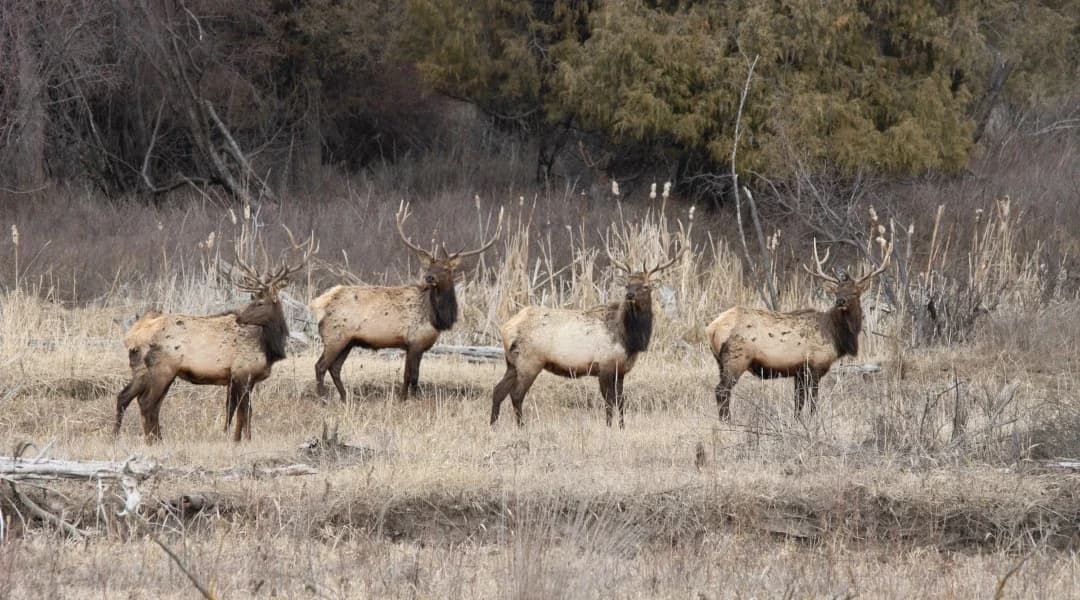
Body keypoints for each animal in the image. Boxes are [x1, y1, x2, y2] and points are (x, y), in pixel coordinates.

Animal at [115, 231, 315, 442]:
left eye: (260, 302)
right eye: (254, 299)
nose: (239, 317)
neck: (268, 348)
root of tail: (132, 336)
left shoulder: (238, 379)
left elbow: (234, 411)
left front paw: (233, 438)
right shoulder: (242, 372)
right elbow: (245, 411)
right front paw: (244, 439)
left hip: (143, 371)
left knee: (127, 397)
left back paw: (130, 436)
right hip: (163, 368)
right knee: (147, 403)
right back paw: (151, 440)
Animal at [309, 203, 502, 402]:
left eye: (446, 268)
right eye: (429, 266)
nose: (429, 277)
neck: (435, 317)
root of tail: (319, 303)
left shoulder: (413, 345)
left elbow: (407, 375)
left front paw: (402, 398)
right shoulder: (416, 342)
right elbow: (414, 376)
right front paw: (413, 400)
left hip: (348, 341)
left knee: (334, 368)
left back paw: (345, 397)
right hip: (335, 336)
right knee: (320, 366)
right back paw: (323, 398)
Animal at [490, 244, 684, 428]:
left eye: (645, 286)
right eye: (627, 285)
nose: (630, 295)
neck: (628, 339)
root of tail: (506, 329)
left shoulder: (620, 370)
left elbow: (621, 401)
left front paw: (622, 427)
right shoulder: (605, 365)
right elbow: (609, 401)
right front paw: (609, 427)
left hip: (512, 363)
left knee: (498, 390)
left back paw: (493, 426)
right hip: (529, 362)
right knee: (516, 394)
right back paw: (521, 427)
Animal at [706, 235, 893, 420]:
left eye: (855, 292)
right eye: (837, 291)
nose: (840, 301)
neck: (836, 335)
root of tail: (712, 328)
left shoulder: (799, 372)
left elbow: (798, 402)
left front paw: (797, 421)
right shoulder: (815, 365)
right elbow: (813, 401)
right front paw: (814, 420)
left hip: (720, 362)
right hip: (736, 358)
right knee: (721, 390)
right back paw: (727, 421)